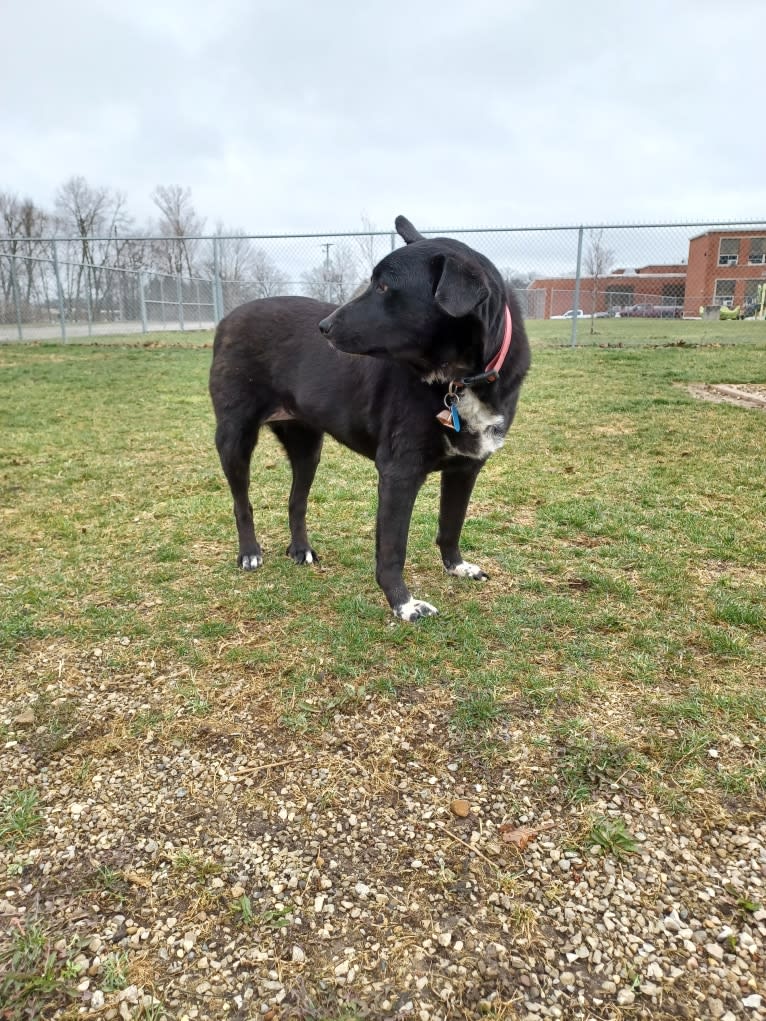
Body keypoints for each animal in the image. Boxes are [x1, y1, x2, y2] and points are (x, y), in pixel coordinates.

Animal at [210, 215, 535, 620]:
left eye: (383, 287)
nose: (323, 326)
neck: (460, 379)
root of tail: (228, 318)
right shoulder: (399, 471)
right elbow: (393, 549)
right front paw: (403, 603)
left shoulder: (466, 467)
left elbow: (452, 524)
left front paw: (457, 566)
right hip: (234, 437)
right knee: (242, 502)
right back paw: (250, 553)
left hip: (306, 446)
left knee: (296, 500)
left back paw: (300, 549)